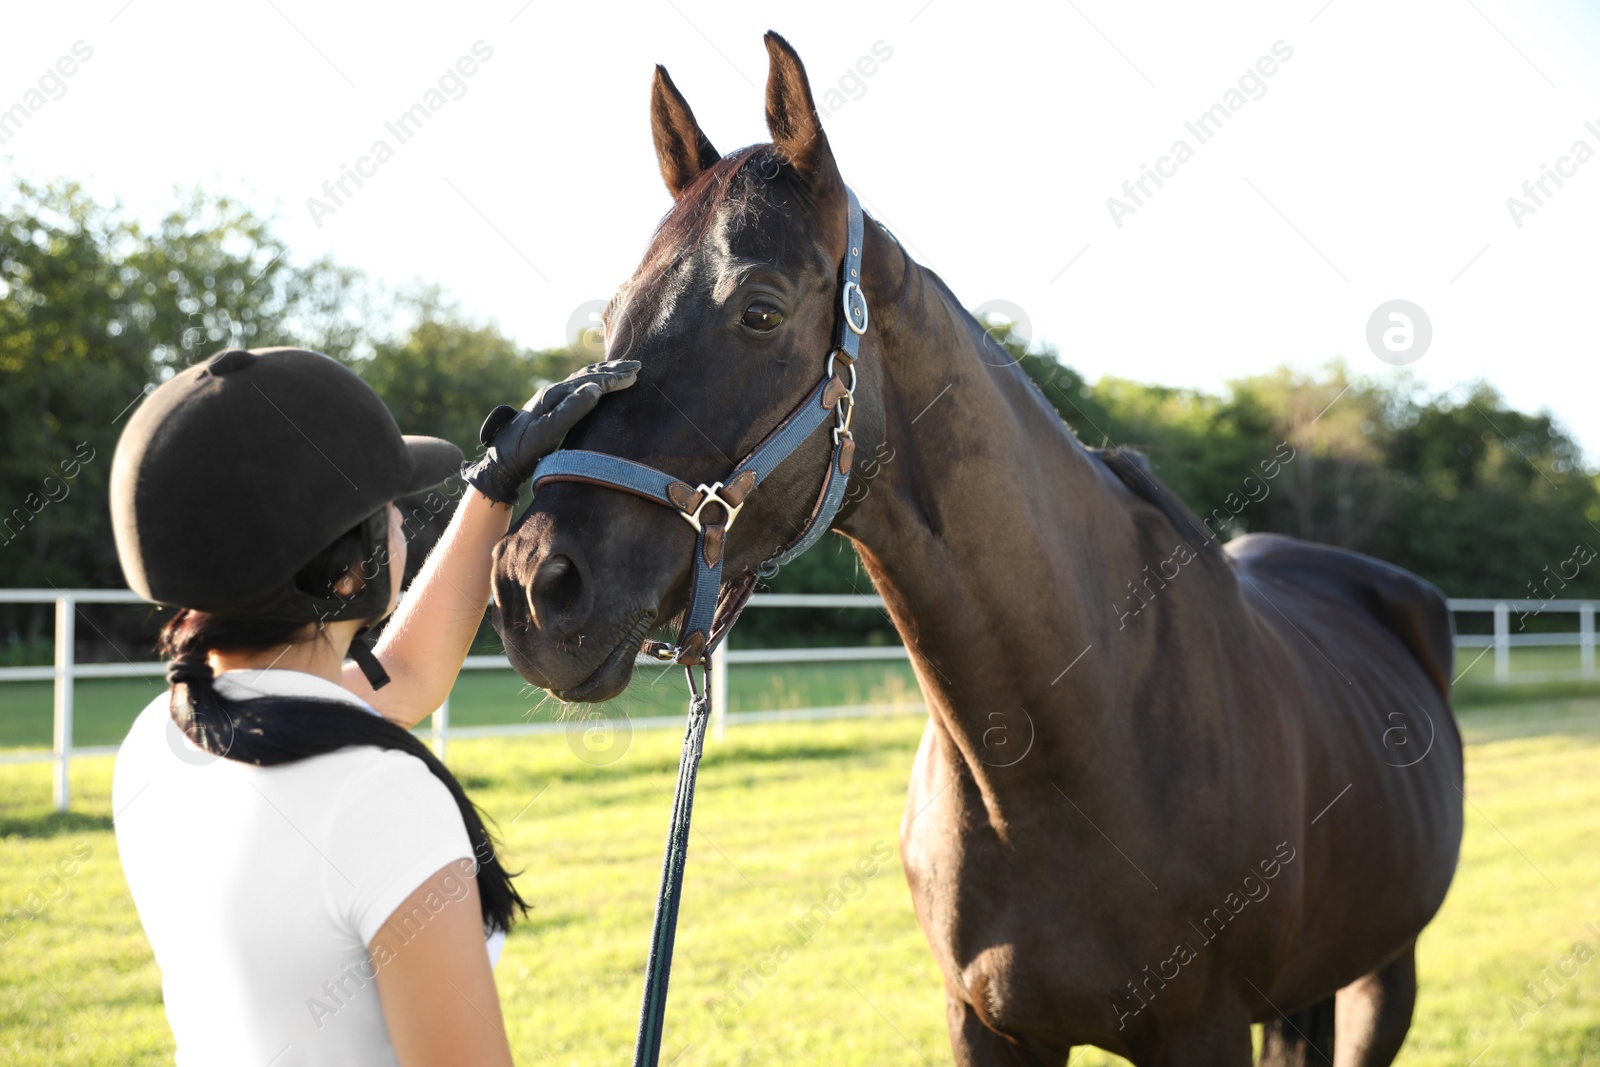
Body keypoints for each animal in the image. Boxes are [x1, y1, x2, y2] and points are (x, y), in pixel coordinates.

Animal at [492, 29, 1465, 1062]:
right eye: (612, 319)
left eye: (759, 308)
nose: (533, 586)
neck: (1066, 745)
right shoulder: (985, 1023)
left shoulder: (1202, 1032)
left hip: (1386, 971)